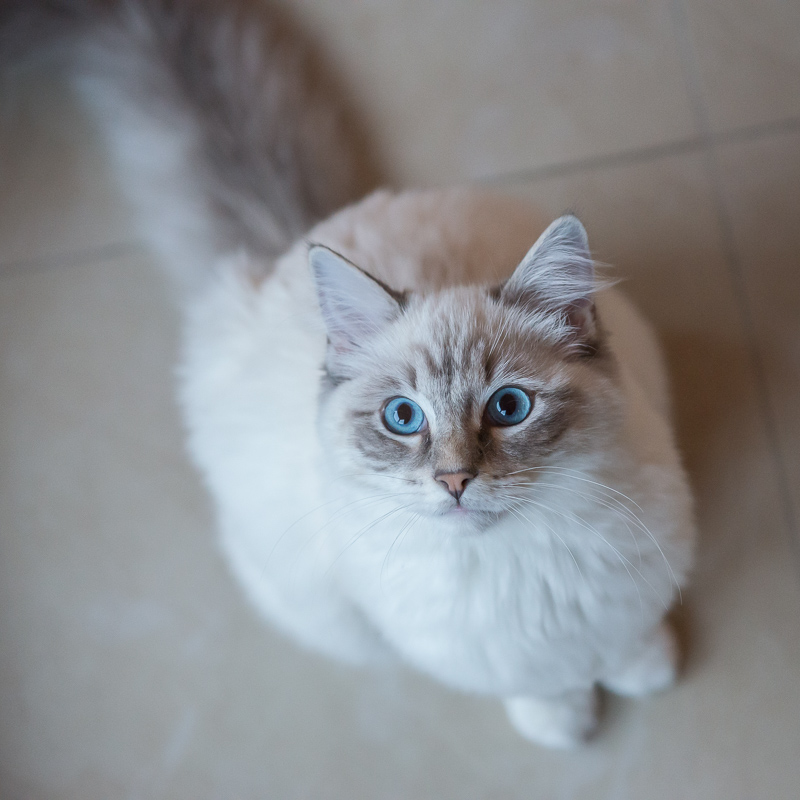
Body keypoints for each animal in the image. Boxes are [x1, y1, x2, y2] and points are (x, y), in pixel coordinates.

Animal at [1, 1, 692, 752]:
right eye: (403, 418)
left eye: (509, 407)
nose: (455, 481)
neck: (521, 562)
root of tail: (295, 239)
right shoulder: (478, 647)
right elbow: (541, 679)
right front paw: (564, 722)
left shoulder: (626, 582)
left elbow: (623, 638)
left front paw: (647, 670)